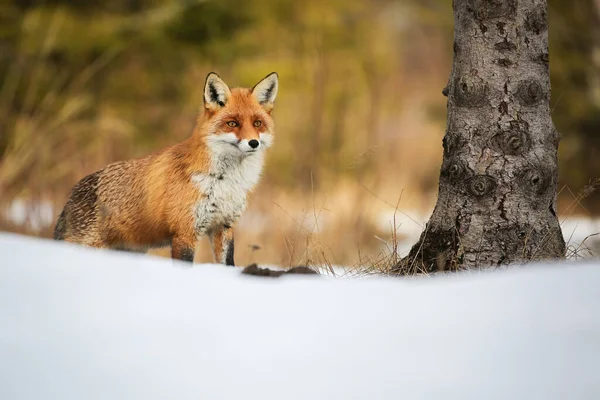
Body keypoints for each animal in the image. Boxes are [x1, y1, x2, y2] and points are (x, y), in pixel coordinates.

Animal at [54, 72, 278, 266]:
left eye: (257, 123)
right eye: (232, 123)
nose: (253, 143)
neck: (225, 182)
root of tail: (72, 193)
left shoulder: (224, 226)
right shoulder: (185, 232)